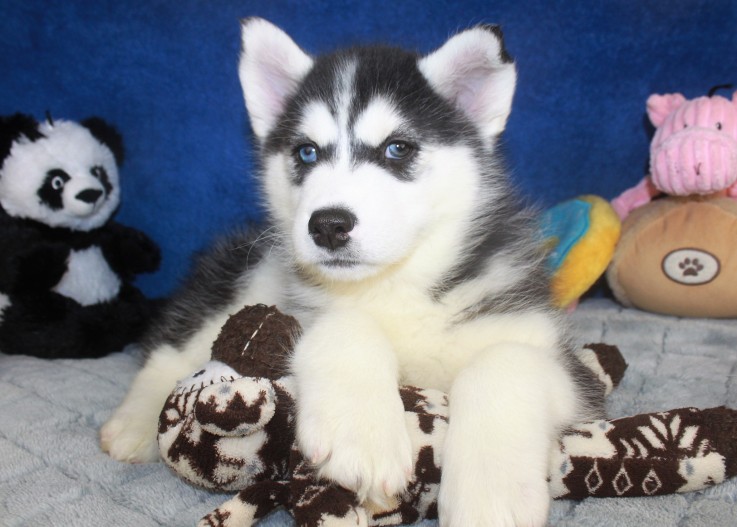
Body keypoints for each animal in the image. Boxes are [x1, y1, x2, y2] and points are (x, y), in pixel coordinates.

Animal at [102, 18, 604, 524]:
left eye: (397, 148)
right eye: (306, 153)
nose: (327, 224)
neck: (394, 285)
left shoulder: (564, 367)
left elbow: (506, 361)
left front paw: (490, 495)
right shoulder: (296, 309)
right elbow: (346, 324)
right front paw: (363, 437)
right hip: (251, 273)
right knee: (176, 341)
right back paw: (134, 422)